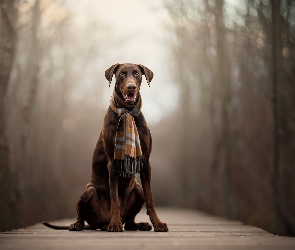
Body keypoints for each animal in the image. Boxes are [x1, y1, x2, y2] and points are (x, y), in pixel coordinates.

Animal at [43, 63, 170, 232]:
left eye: (137, 73)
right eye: (122, 74)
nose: (131, 87)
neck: (127, 111)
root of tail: (101, 223)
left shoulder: (145, 161)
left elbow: (150, 199)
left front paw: (158, 224)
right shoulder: (113, 161)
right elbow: (114, 198)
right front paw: (115, 224)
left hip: (137, 189)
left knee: (130, 220)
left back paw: (139, 224)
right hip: (88, 192)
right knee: (82, 214)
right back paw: (79, 224)